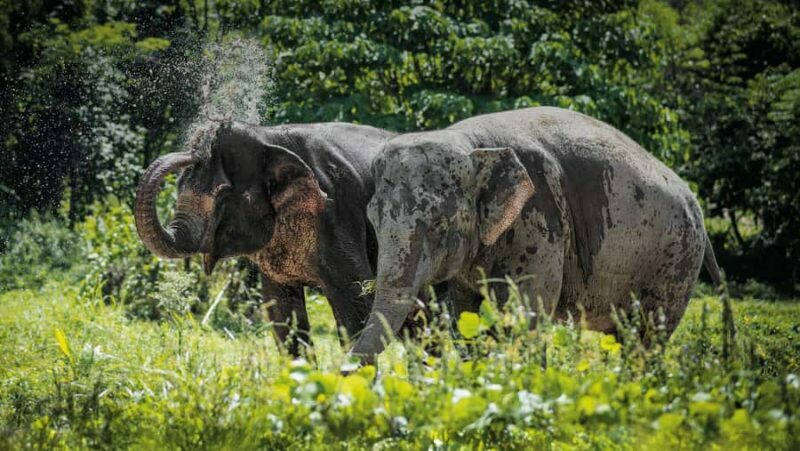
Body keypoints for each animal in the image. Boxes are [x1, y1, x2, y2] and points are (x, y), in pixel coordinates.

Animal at [134, 120, 396, 355]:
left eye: (223, 195)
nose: (194, 152)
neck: (267, 137)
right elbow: (281, 313)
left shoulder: (337, 214)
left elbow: (358, 303)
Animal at [350, 106, 722, 361]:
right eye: (373, 221)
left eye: (441, 225)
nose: (345, 371)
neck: (472, 145)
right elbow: (467, 315)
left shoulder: (540, 221)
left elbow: (524, 315)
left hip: (675, 259)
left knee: (647, 336)